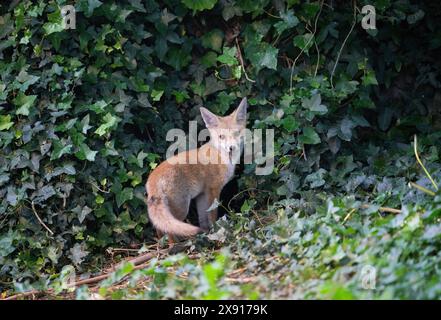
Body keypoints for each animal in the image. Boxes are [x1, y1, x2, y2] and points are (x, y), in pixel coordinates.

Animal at [145, 97, 246, 242]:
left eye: (237, 133)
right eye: (221, 136)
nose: (231, 148)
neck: (222, 158)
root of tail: (153, 178)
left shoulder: (201, 195)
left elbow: (203, 218)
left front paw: (208, 233)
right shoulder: (213, 190)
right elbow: (212, 215)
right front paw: (218, 231)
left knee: (159, 228)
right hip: (181, 208)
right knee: (169, 229)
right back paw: (175, 245)